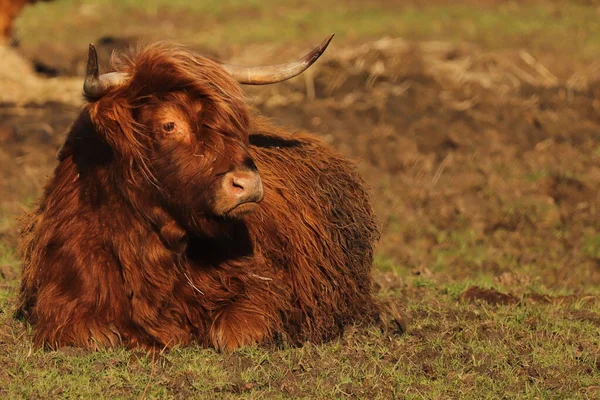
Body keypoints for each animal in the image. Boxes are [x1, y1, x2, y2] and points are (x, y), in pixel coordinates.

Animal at [17, 36, 380, 352]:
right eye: (169, 124)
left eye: (231, 123)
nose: (247, 183)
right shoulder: (62, 297)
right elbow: (94, 334)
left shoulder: (266, 287)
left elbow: (232, 333)